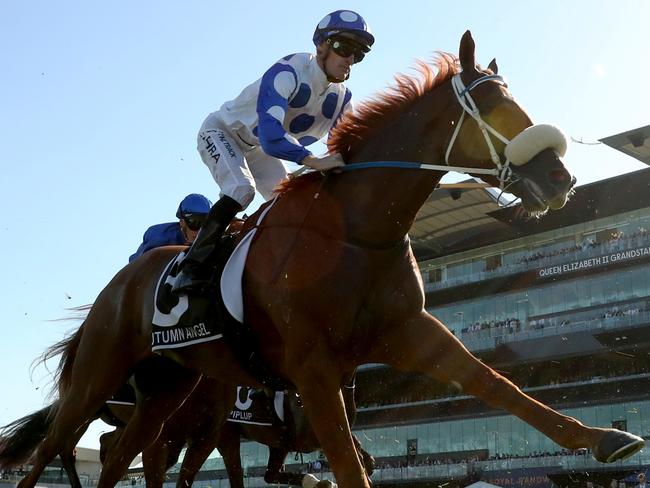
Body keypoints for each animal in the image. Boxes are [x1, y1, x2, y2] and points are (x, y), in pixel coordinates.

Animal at [1, 31, 644, 488]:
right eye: (491, 104)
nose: (559, 178)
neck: (357, 232)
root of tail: (119, 282)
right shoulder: (312, 368)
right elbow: (348, 465)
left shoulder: (408, 332)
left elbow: (495, 383)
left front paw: (603, 437)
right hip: (102, 371)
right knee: (54, 446)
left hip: (169, 388)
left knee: (121, 459)